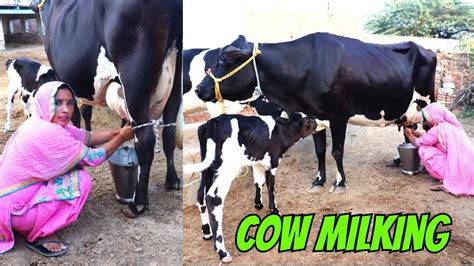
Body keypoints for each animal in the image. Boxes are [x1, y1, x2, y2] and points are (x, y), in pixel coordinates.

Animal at [31, 0, 183, 216]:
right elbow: (86, 112)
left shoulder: (64, 78)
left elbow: (76, 115)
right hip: (176, 79)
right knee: (169, 132)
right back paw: (173, 180)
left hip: (134, 79)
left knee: (145, 139)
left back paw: (137, 203)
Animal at [183, 112, 316, 262]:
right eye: (309, 120)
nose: (317, 121)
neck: (282, 130)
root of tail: (212, 121)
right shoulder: (273, 162)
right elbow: (271, 186)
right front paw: (274, 209)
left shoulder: (258, 162)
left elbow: (258, 182)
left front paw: (258, 204)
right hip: (227, 169)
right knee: (213, 198)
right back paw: (222, 252)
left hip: (208, 167)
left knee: (200, 193)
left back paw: (206, 232)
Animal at [196, 33, 436, 194]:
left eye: (223, 61)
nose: (198, 88)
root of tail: (425, 48)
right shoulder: (313, 116)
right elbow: (320, 151)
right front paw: (319, 180)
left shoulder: (339, 116)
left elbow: (336, 151)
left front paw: (339, 182)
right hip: (408, 108)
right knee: (408, 130)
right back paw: (399, 159)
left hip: (428, 101)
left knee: (429, 129)